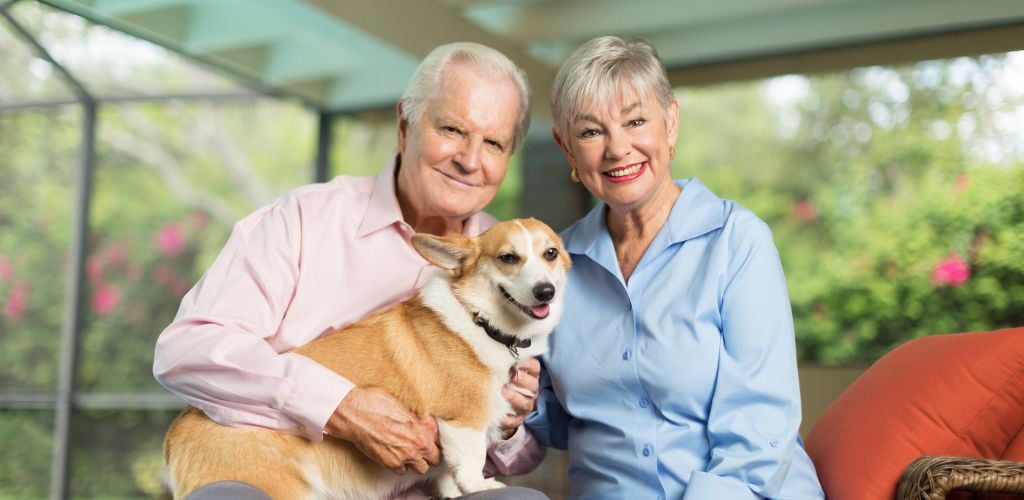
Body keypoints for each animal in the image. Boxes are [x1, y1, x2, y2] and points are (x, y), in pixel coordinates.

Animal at [163, 219, 573, 500]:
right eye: (508, 258)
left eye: (550, 253)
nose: (545, 292)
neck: (482, 320)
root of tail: (174, 437)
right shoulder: (462, 420)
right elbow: (470, 463)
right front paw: (481, 486)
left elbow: (450, 473)